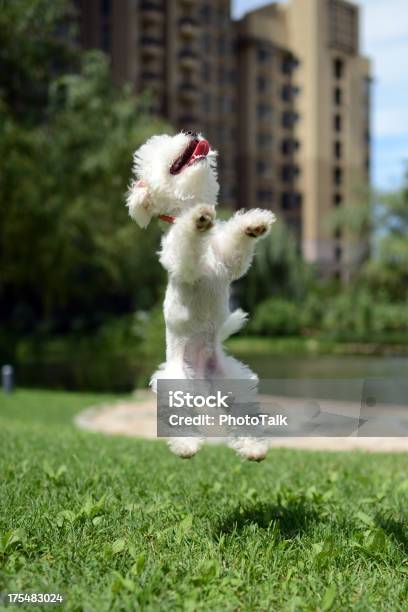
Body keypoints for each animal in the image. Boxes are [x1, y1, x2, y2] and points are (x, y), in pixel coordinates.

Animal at [126, 131, 276, 462]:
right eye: (163, 148)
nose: (194, 134)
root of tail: (203, 378)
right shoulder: (184, 260)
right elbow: (187, 240)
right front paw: (198, 219)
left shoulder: (228, 260)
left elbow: (236, 246)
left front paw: (253, 223)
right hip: (176, 383)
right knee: (178, 418)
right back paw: (187, 446)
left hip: (234, 384)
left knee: (243, 416)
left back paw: (254, 448)